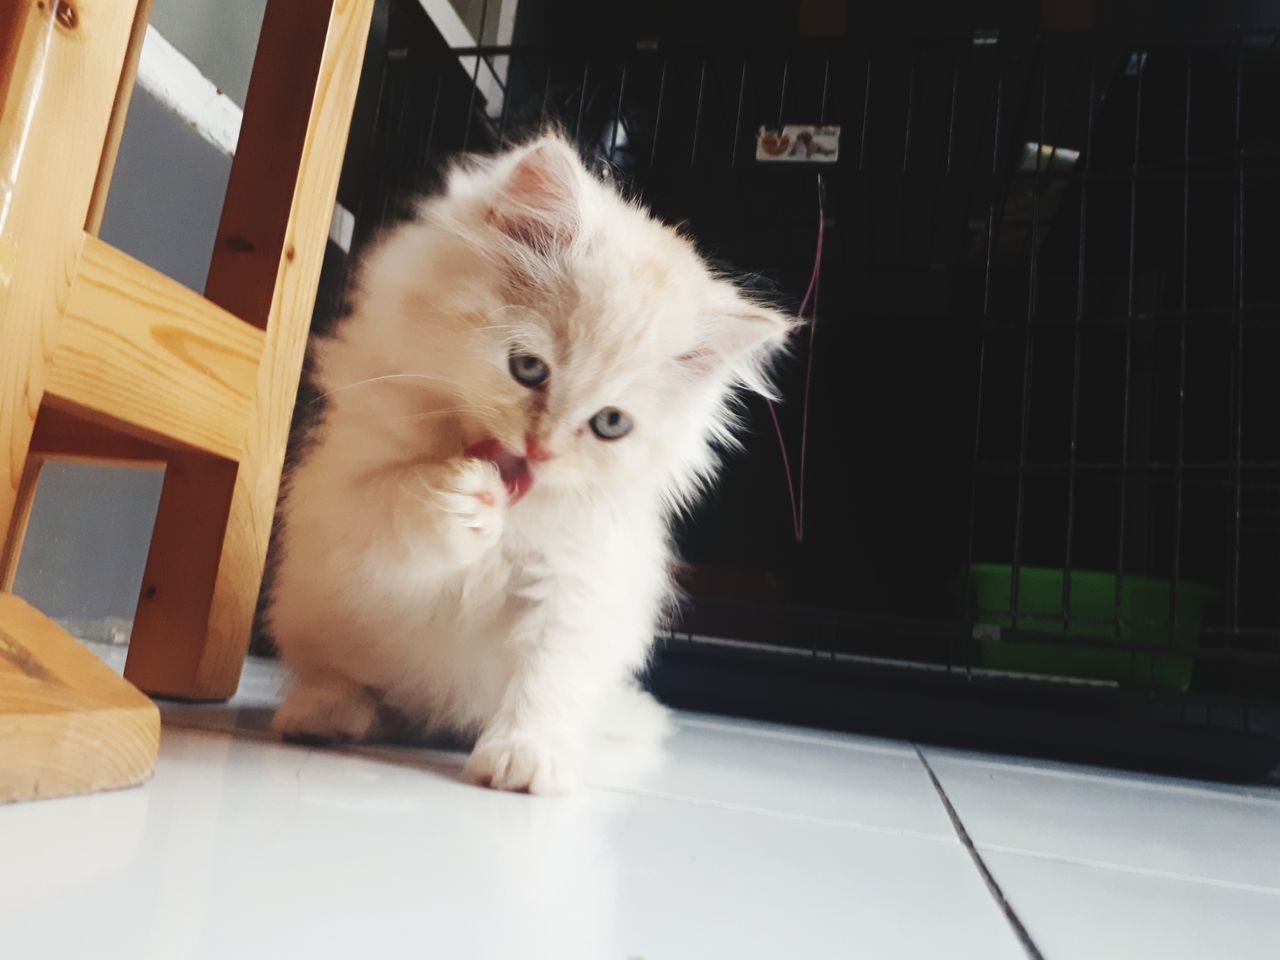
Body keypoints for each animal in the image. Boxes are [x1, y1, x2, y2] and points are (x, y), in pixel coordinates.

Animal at [270, 135, 788, 798]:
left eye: (610, 424)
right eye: (528, 369)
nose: (541, 449)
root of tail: (432, 717)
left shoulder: (575, 582)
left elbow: (546, 675)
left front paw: (525, 758)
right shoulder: (339, 502)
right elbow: (394, 500)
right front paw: (460, 500)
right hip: (312, 610)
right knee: (349, 683)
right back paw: (326, 713)